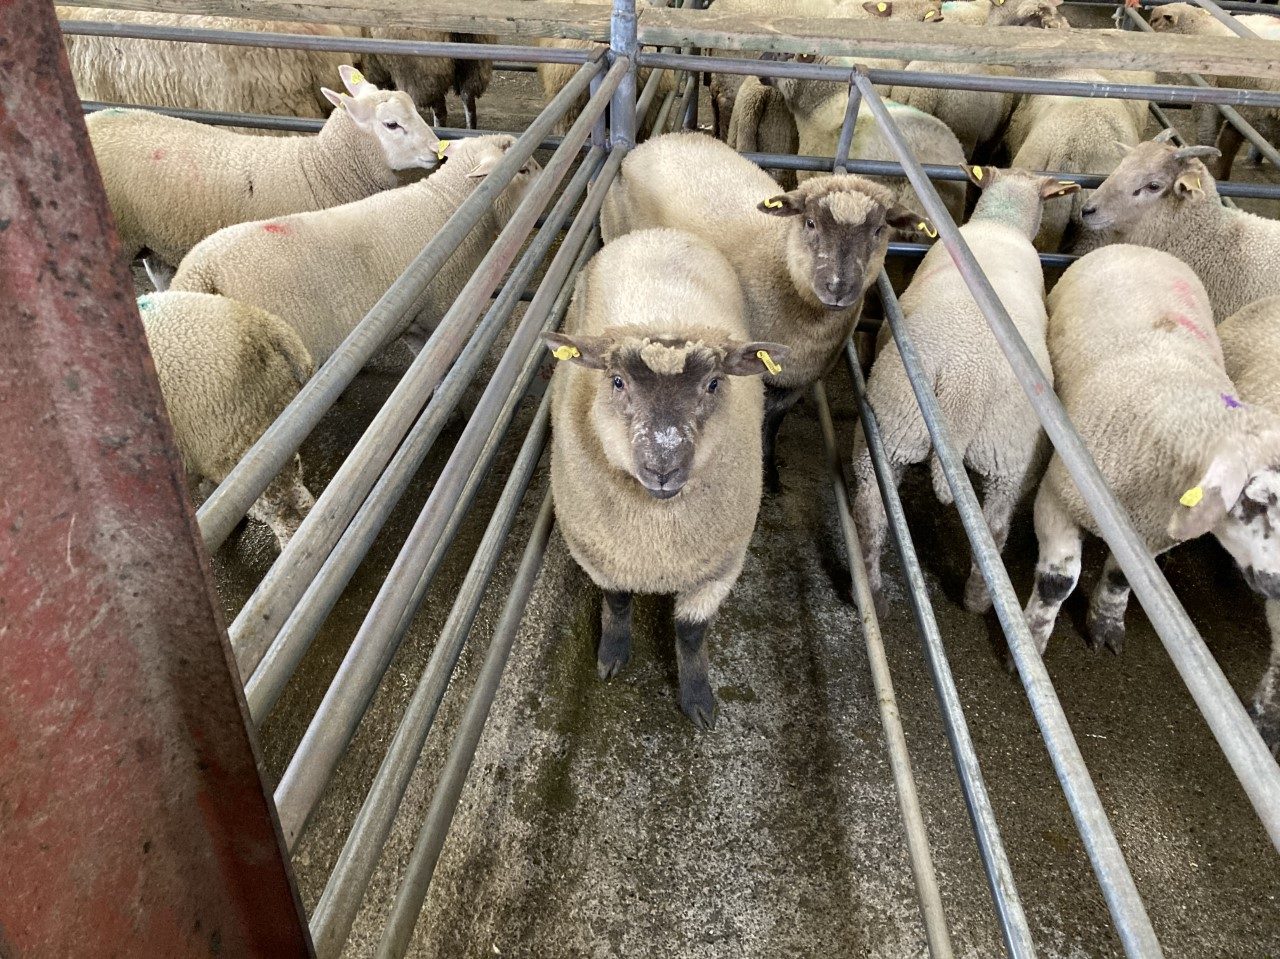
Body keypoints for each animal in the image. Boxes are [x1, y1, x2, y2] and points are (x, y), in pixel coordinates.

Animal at [544, 227, 790, 729]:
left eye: (714, 383)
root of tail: (659, 233)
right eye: (617, 381)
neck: (657, 545)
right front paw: (613, 654)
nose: (663, 467)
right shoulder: (601, 553)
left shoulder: (719, 567)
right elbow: (618, 604)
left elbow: (691, 633)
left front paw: (697, 697)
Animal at [600, 132, 923, 492]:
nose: (838, 287)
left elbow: (773, 424)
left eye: (880, 230)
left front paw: (770, 471)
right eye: (810, 222)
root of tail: (655, 140)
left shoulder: (798, 380)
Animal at [851, 166, 1080, 614]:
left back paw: (879, 591)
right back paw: (975, 599)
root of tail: (965, 379)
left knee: (876, 510)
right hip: (1002, 455)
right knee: (992, 526)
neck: (1002, 222)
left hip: (899, 427)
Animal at [1022, 245, 1280, 755]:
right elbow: (1058, 583)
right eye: (1259, 501)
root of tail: (1144, 248)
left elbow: (1122, 579)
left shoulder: (1153, 536)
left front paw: (1106, 623)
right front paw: (1031, 642)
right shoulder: (1059, 495)